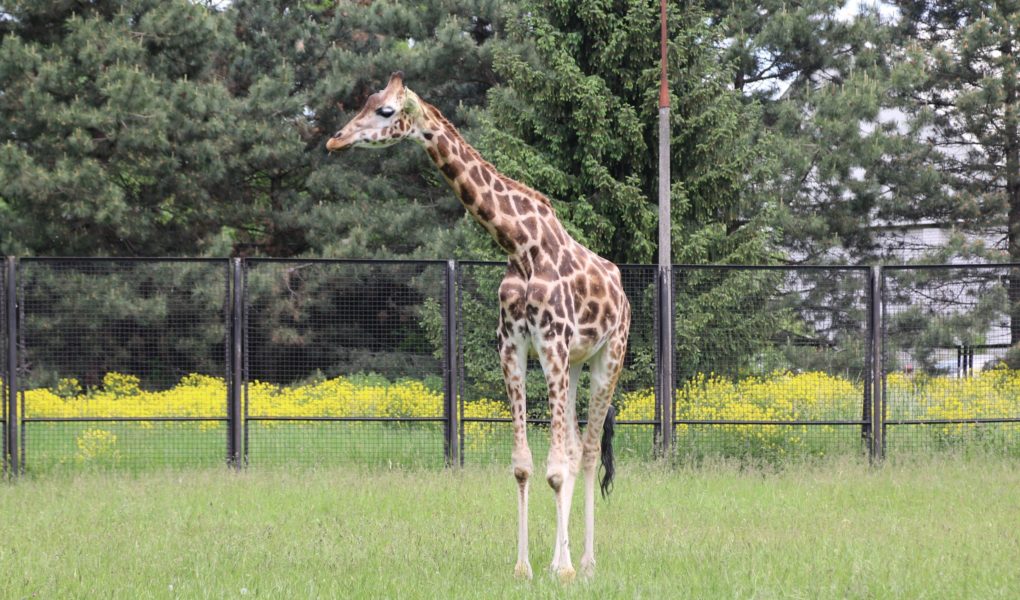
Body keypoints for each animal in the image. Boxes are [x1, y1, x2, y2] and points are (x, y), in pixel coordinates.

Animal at [326, 73, 628, 579]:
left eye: (386, 110)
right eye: (365, 102)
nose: (336, 139)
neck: (521, 246)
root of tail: (622, 292)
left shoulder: (551, 344)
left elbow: (556, 466)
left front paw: (563, 570)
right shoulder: (515, 348)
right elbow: (526, 465)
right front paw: (526, 568)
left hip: (608, 355)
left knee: (586, 453)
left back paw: (584, 563)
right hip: (574, 363)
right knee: (571, 448)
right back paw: (562, 556)